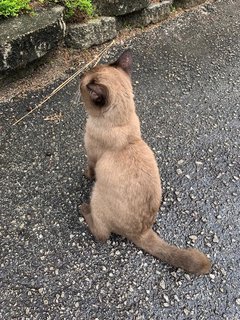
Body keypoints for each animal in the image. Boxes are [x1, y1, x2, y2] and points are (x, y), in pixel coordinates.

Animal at [79, 50, 211, 276]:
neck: (122, 124)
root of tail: (143, 232)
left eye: (81, 85)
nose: (79, 78)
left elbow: (89, 170)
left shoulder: (92, 157)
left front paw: (85, 176)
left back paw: (84, 209)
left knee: (101, 234)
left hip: (96, 195)